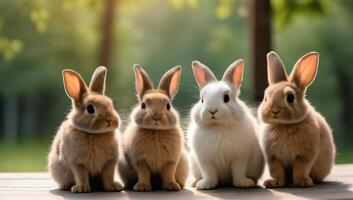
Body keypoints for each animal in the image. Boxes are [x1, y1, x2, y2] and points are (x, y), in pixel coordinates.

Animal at [188, 59, 262, 189]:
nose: (212, 110)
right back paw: (195, 183)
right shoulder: (206, 161)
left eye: (226, 98)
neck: (218, 126)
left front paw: (243, 183)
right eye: (202, 100)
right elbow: (209, 174)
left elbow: (239, 171)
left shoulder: (240, 157)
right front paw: (205, 185)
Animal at [258, 51, 336, 188]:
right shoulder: (273, 157)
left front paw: (302, 182)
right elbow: (276, 171)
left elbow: (301, 168)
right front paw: (274, 182)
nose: (274, 111)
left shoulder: (304, 156)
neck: (284, 125)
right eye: (266, 98)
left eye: (290, 97)